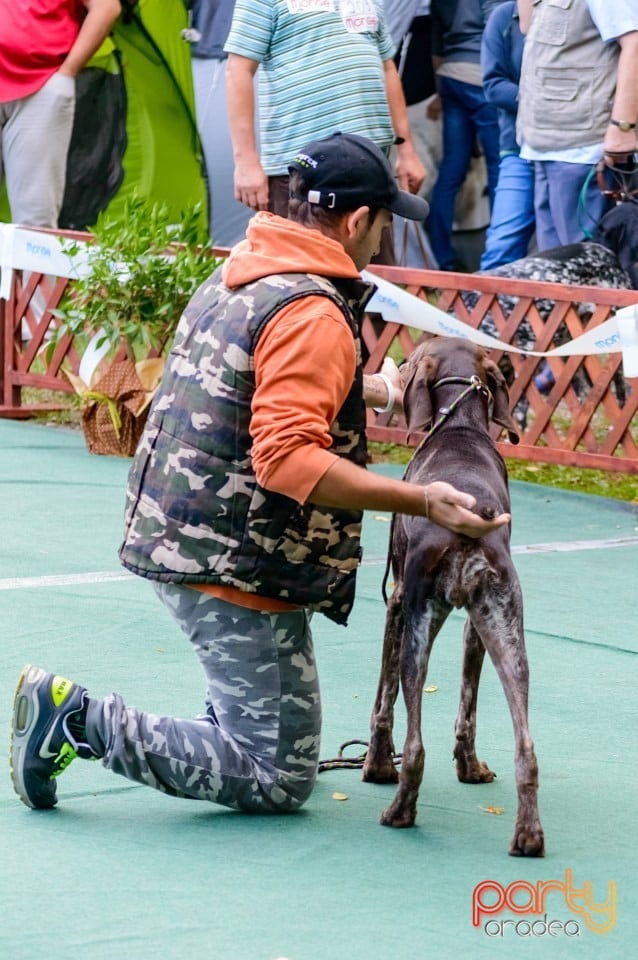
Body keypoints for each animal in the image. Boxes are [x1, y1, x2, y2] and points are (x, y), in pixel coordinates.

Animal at [362, 338, 548, 856]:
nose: (399, 366)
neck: (461, 426)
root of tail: (471, 521)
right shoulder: (475, 627)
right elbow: (468, 705)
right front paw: (470, 768)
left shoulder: (397, 604)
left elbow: (382, 700)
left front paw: (376, 766)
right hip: (509, 635)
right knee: (526, 748)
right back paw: (529, 835)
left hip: (419, 626)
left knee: (415, 741)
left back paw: (400, 811)